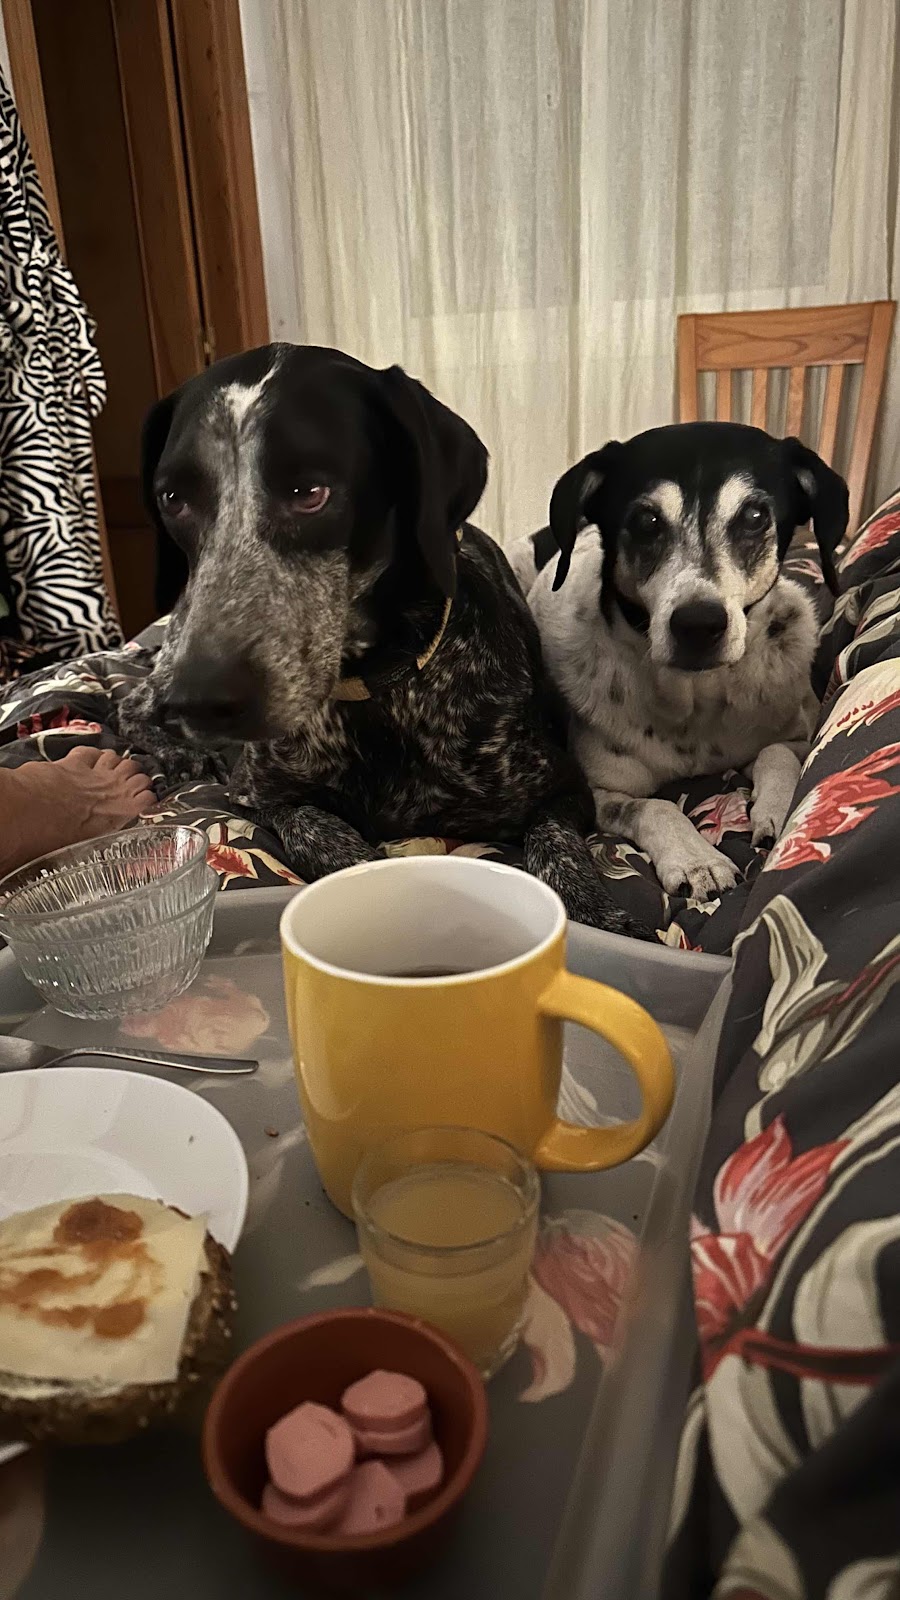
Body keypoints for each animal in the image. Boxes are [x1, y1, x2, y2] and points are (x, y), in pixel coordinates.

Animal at [116, 343, 642, 936]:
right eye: (173, 499)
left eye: (310, 492)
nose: (202, 700)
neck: (373, 692)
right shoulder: (260, 794)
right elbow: (323, 837)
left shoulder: (566, 789)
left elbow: (556, 844)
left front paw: (595, 910)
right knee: (128, 700)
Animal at [509, 423, 848, 900]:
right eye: (646, 521)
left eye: (754, 516)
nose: (699, 625)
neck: (696, 701)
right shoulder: (599, 792)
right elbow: (654, 807)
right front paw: (698, 861)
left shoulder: (797, 730)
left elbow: (779, 750)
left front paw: (775, 809)